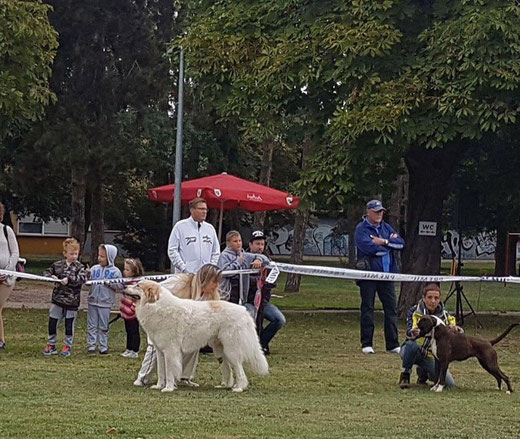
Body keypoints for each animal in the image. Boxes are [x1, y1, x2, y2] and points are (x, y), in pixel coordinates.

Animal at [126, 280, 268, 394]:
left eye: (138, 285)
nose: (124, 286)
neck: (156, 305)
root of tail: (244, 311)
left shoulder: (170, 351)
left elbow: (170, 371)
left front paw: (168, 388)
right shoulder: (160, 351)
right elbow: (161, 372)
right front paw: (158, 386)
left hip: (231, 350)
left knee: (239, 371)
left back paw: (239, 388)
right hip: (220, 351)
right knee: (227, 368)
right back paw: (225, 385)